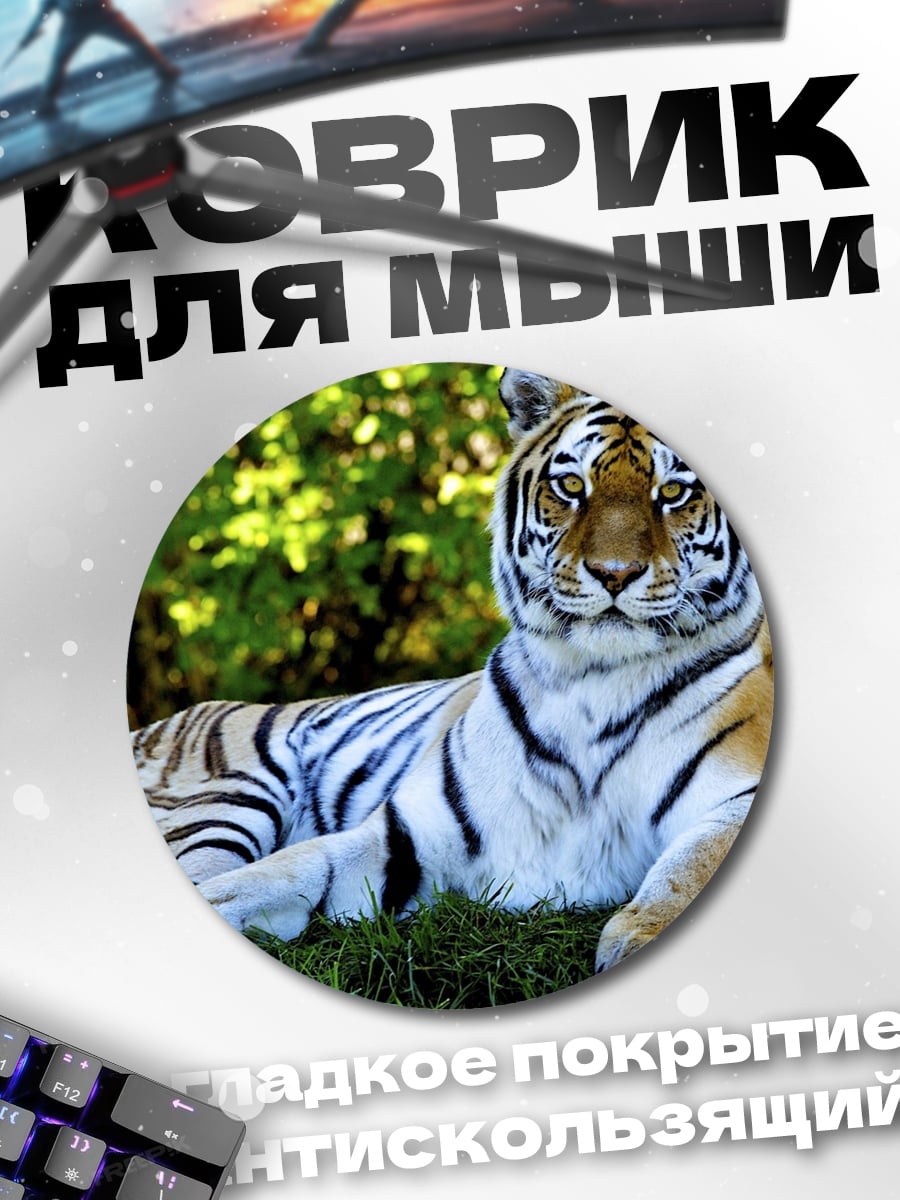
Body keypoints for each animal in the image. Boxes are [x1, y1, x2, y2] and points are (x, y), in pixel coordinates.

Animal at [132, 368, 774, 976]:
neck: (595, 683)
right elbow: (278, 872)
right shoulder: (406, 837)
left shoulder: (736, 796)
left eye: (673, 492)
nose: (614, 573)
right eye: (572, 486)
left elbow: (694, 865)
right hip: (230, 796)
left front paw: (638, 938)